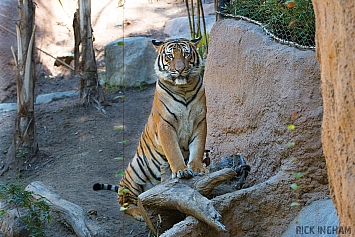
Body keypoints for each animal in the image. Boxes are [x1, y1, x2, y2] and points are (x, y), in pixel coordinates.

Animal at [94, 37, 209, 220]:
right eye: (170, 56)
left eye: (186, 54)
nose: (180, 69)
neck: (184, 89)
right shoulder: (165, 125)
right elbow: (173, 151)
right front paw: (181, 171)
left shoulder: (200, 121)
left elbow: (198, 147)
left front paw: (197, 168)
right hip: (134, 175)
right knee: (126, 204)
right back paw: (139, 213)